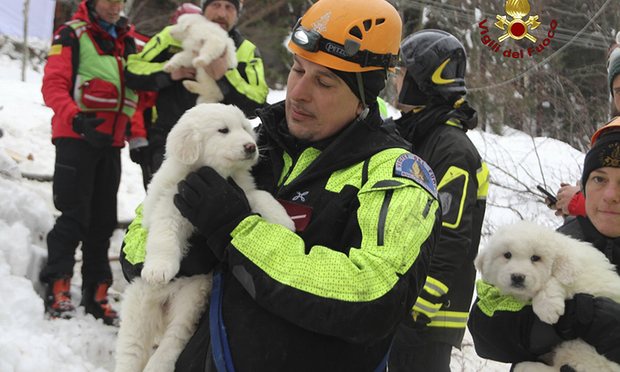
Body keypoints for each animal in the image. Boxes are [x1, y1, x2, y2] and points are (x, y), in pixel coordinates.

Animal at [114, 102, 296, 372]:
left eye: (244, 128)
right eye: (223, 130)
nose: (251, 147)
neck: (217, 174)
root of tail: (164, 306)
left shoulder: (240, 191)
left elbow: (261, 197)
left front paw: (284, 220)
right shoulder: (170, 204)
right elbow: (164, 235)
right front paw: (159, 270)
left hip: (191, 300)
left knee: (174, 339)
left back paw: (160, 364)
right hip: (140, 307)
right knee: (131, 351)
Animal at [478, 221, 620, 372]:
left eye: (535, 258)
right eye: (507, 255)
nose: (517, 277)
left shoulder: (579, 278)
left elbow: (552, 281)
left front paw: (548, 308)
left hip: (581, 350)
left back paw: (526, 366)